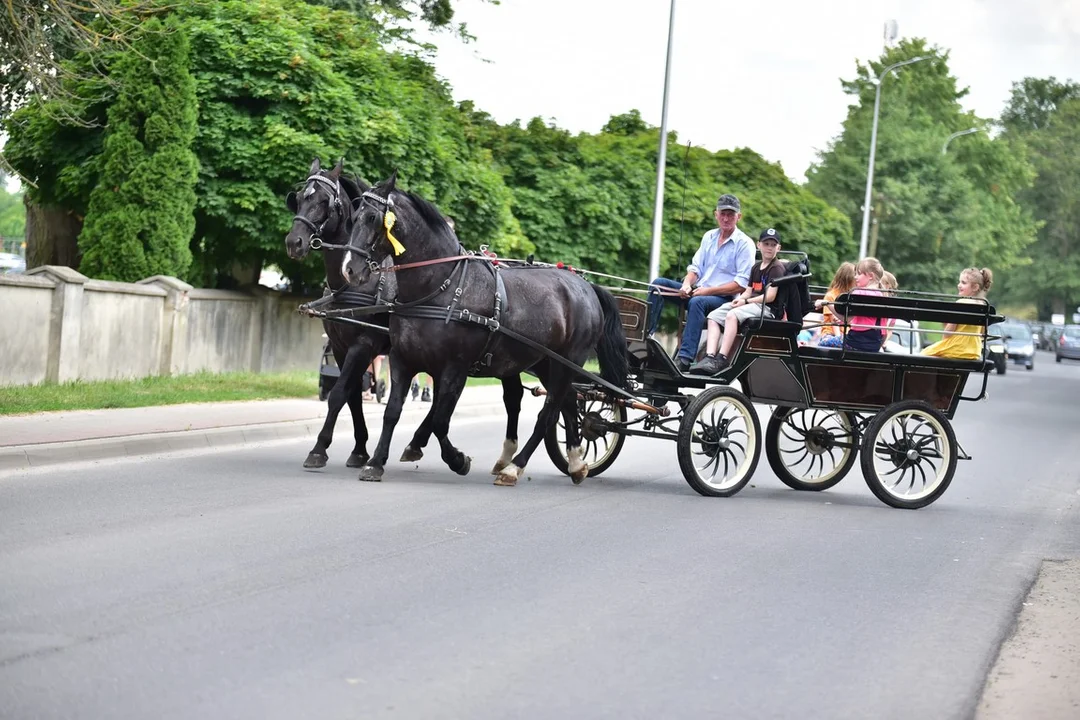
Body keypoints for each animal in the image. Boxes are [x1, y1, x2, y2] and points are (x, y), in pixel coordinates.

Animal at [285, 158, 524, 472]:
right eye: (300, 198)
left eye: (324, 200)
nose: (294, 242)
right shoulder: (340, 347)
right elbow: (351, 396)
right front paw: (359, 450)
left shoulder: (363, 345)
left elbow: (338, 395)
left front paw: (319, 449)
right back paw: (419, 442)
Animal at [345, 170, 630, 483]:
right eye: (354, 215)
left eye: (373, 217)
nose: (349, 269)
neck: (441, 287)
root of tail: (587, 286)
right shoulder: (402, 360)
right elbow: (393, 411)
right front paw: (375, 462)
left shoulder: (454, 368)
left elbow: (441, 420)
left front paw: (457, 460)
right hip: (546, 362)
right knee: (567, 402)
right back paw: (576, 463)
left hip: (568, 362)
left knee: (549, 411)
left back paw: (515, 466)